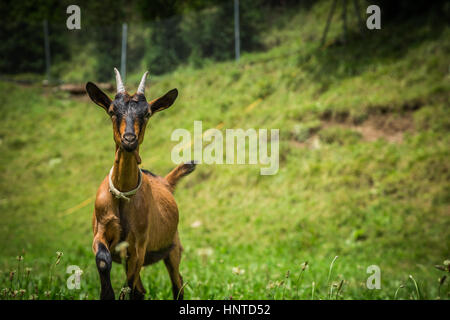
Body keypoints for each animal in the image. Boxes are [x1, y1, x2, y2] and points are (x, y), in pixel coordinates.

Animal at [86, 68, 195, 300]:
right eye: (112, 111)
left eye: (147, 113)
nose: (129, 139)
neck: (122, 195)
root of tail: (166, 182)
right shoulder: (101, 231)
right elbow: (103, 261)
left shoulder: (138, 246)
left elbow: (128, 287)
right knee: (142, 289)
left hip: (173, 247)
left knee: (177, 282)